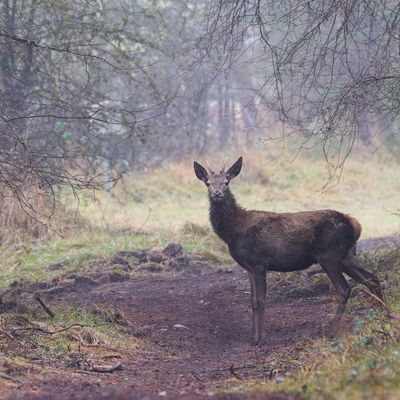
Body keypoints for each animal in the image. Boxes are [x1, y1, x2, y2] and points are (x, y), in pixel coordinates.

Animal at [195, 158, 384, 346]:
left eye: (226, 182)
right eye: (208, 183)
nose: (217, 193)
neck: (233, 231)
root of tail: (355, 224)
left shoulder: (259, 262)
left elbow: (261, 300)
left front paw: (262, 338)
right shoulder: (249, 267)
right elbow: (253, 301)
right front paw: (253, 339)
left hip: (329, 255)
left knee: (345, 289)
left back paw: (331, 332)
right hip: (346, 256)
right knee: (372, 279)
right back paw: (382, 315)